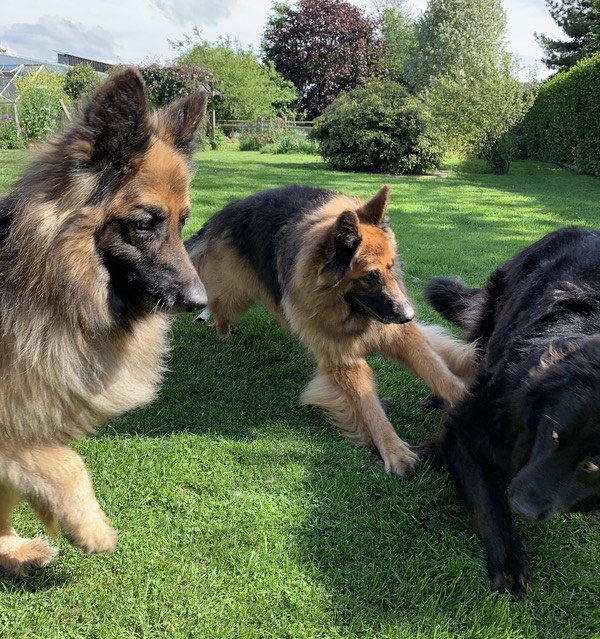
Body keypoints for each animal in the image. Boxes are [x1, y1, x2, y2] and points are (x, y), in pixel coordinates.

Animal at [186, 184, 474, 476]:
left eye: (391, 267)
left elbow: (438, 372)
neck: (348, 311)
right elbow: (369, 409)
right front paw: (393, 450)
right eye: (370, 277)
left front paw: (465, 401)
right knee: (220, 305)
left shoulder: (400, 335)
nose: (409, 315)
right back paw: (221, 331)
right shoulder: (344, 361)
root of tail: (229, 209)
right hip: (236, 293)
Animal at [420, 228, 600, 596]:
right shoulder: (472, 421)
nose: (523, 508)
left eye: (594, 465)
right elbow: (488, 497)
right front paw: (509, 559)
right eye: (554, 435)